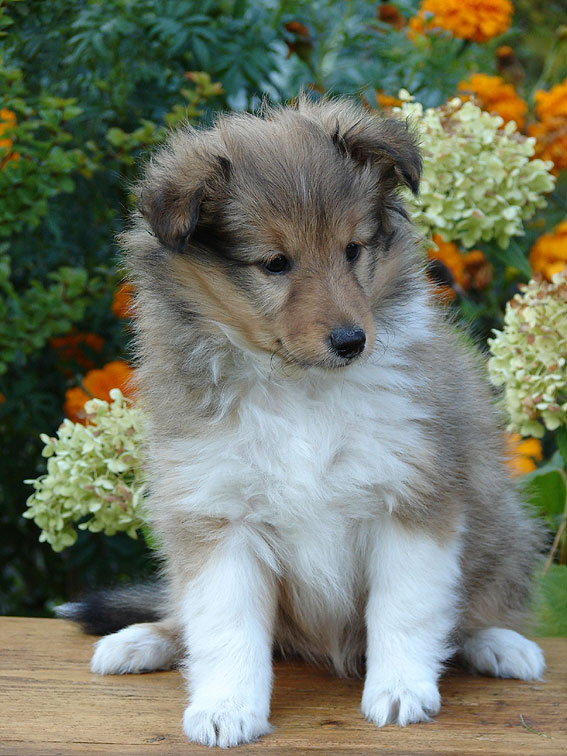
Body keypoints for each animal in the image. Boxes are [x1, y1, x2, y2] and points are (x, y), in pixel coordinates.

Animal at [57, 97, 544, 748]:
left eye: (353, 250)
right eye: (275, 263)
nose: (351, 341)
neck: (300, 387)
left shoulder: (413, 498)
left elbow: (405, 608)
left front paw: (400, 691)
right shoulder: (219, 514)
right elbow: (226, 626)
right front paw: (226, 709)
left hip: (503, 526)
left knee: (476, 608)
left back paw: (502, 645)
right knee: (181, 613)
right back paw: (140, 641)